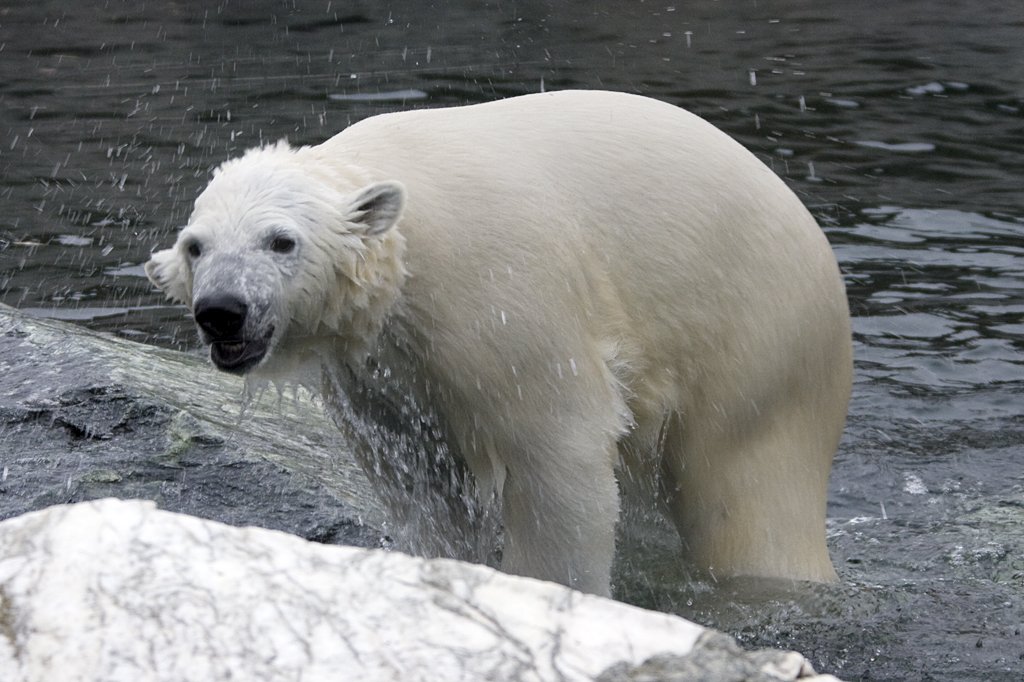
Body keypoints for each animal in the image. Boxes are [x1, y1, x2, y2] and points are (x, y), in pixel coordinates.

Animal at [142, 90, 847, 593]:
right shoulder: (384, 371)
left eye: (281, 241)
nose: (222, 312)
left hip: (755, 340)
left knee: (747, 491)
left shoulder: (499, 288)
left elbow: (557, 449)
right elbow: (424, 479)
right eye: (196, 246)